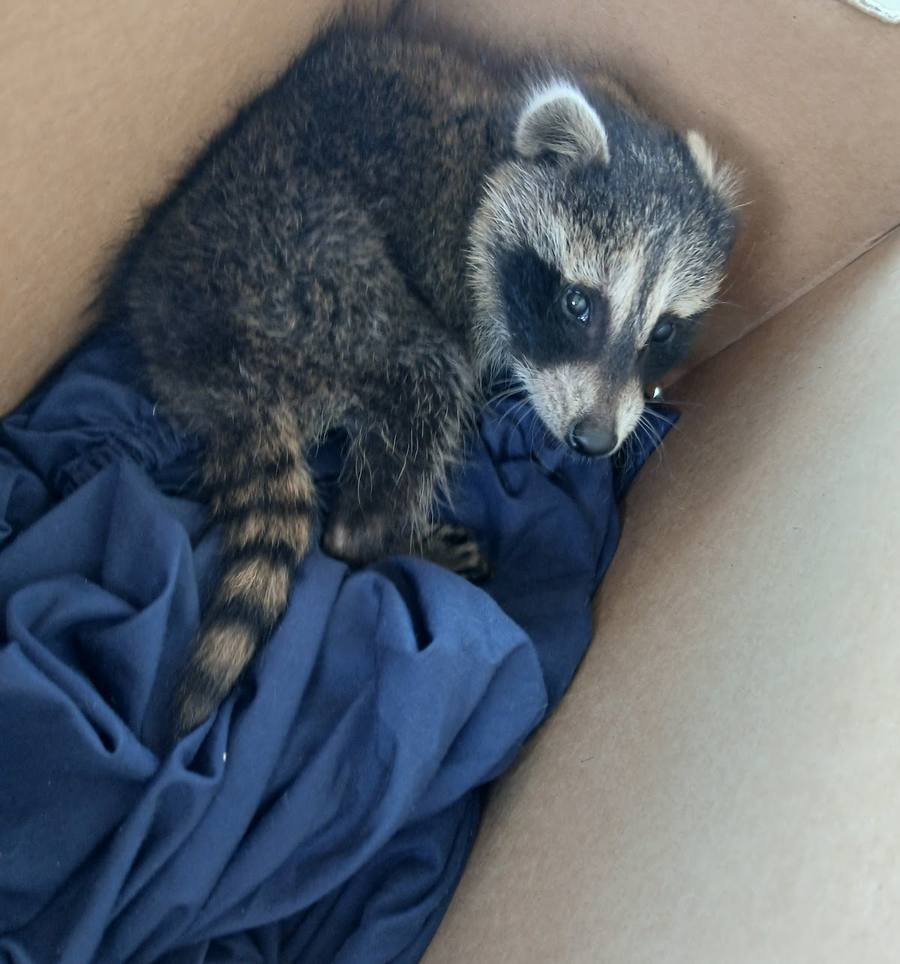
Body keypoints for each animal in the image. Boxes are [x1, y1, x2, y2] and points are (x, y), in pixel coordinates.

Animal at [104, 18, 738, 736]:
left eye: (662, 331)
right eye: (579, 304)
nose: (595, 440)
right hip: (301, 275)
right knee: (424, 373)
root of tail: (200, 363)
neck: (497, 157)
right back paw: (380, 534)